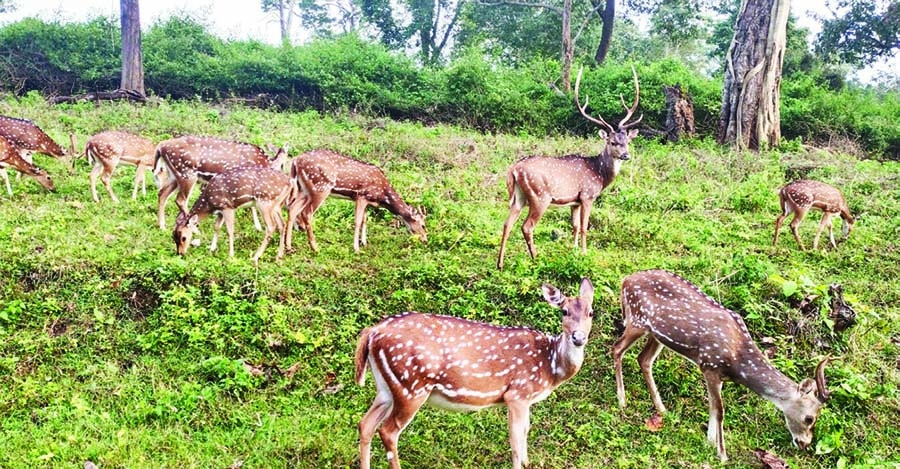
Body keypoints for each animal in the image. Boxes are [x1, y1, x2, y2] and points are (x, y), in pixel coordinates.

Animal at [154, 135, 288, 230]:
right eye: (283, 164)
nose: (282, 176)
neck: (264, 162)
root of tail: (160, 147)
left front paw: (257, 227)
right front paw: (258, 227)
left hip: (174, 175)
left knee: (162, 193)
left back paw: (162, 226)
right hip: (186, 173)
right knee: (180, 199)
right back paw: (194, 228)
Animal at [285, 149, 427, 253]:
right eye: (423, 225)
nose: (425, 240)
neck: (382, 196)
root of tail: (295, 161)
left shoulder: (366, 200)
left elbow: (364, 220)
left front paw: (364, 242)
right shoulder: (362, 195)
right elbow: (358, 221)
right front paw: (356, 248)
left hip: (303, 189)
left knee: (292, 208)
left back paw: (288, 246)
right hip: (320, 187)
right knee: (306, 213)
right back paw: (315, 247)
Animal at [355, 278, 594, 469]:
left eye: (591, 312)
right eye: (564, 311)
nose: (578, 337)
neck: (550, 365)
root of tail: (371, 332)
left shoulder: (525, 400)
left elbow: (526, 431)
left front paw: (529, 462)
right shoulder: (517, 393)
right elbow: (516, 441)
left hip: (387, 387)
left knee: (365, 424)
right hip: (411, 385)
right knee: (388, 431)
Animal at [497, 66, 641, 269]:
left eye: (628, 141)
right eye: (613, 142)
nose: (626, 155)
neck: (599, 174)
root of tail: (513, 170)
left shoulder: (575, 202)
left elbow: (574, 226)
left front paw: (573, 251)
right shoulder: (588, 195)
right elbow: (584, 227)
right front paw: (584, 253)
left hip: (518, 197)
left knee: (506, 224)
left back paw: (500, 264)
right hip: (539, 195)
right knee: (527, 226)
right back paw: (536, 258)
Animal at [613, 269, 831, 462]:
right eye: (810, 418)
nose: (805, 444)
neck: (737, 361)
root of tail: (625, 280)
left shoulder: (717, 375)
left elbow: (711, 406)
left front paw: (709, 443)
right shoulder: (710, 364)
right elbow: (719, 410)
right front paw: (722, 454)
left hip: (656, 334)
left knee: (644, 359)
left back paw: (661, 408)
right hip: (637, 319)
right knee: (616, 349)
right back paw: (622, 400)